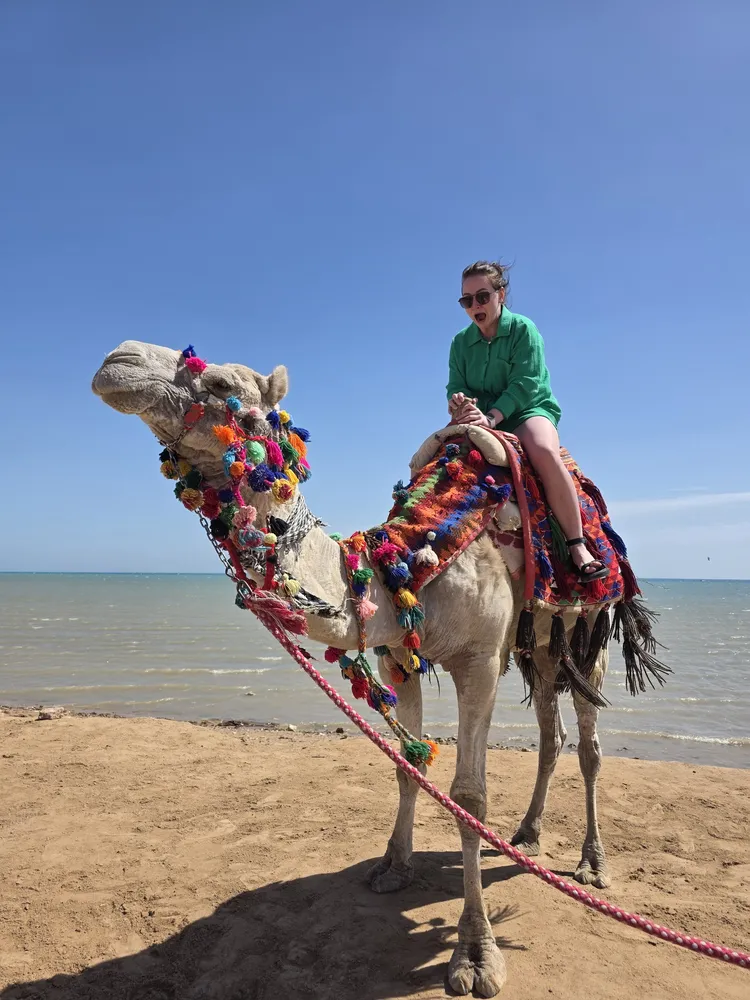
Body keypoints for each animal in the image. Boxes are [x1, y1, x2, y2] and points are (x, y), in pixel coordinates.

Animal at [92, 340, 615, 998]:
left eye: (220, 384)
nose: (118, 360)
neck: (406, 567)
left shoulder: (478, 660)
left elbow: (469, 796)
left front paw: (475, 954)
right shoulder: (399, 658)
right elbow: (408, 767)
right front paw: (393, 867)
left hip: (589, 623)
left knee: (589, 745)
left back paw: (592, 864)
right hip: (538, 642)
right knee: (552, 733)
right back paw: (527, 835)